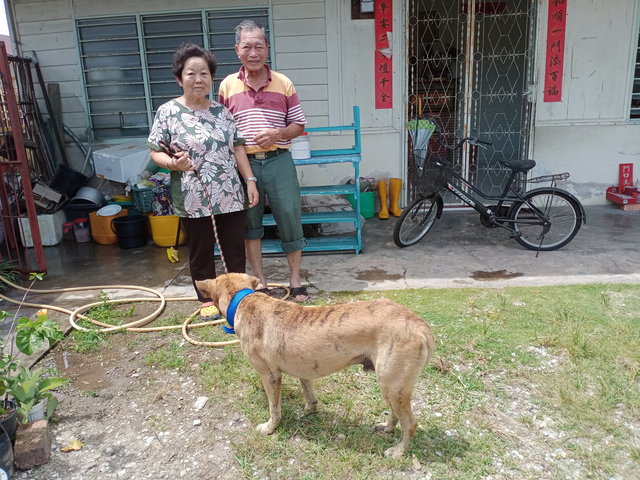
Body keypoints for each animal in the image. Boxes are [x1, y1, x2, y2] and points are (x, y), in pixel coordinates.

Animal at [195, 274, 436, 458]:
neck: (244, 300)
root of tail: (419, 325)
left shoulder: (270, 375)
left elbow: (274, 408)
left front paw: (270, 428)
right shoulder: (304, 368)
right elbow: (308, 392)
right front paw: (309, 411)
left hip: (392, 385)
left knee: (410, 424)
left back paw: (398, 451)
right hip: (393, 387)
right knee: (396, 416)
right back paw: (387, 429)